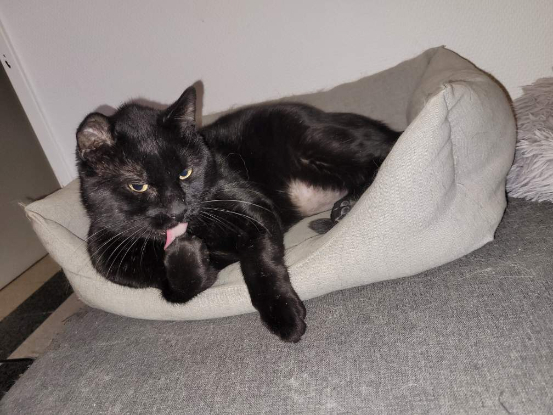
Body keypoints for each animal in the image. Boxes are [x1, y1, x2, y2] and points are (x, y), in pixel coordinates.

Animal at [76, 85, 401, 342]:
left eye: (185, 172)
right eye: (138, 185)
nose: (179, 209)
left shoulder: (256, 214)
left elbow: (259, 265)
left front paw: (283, 316)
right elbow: (177, 292)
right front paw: (185, 252)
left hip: (316, 140)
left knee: (384, 156)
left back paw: (345, 207)